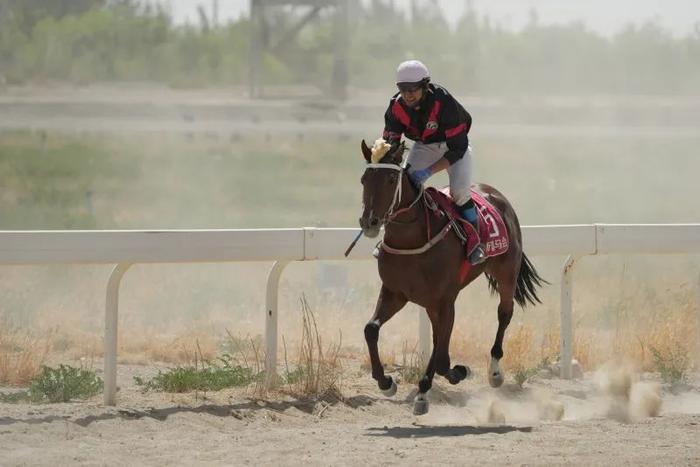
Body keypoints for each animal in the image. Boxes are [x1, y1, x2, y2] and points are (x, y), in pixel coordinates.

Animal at [358, 137, 544, 414]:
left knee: (504, 313)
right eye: (364, 179)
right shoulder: (395, 293)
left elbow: (440, 353)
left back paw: (495, 372)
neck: (412, 240)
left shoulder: (445, 301)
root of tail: (495, 194)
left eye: (391, 180)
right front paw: (386, 382)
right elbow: (372, 330)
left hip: (506, 272)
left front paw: (424, 393)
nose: (369, 222)